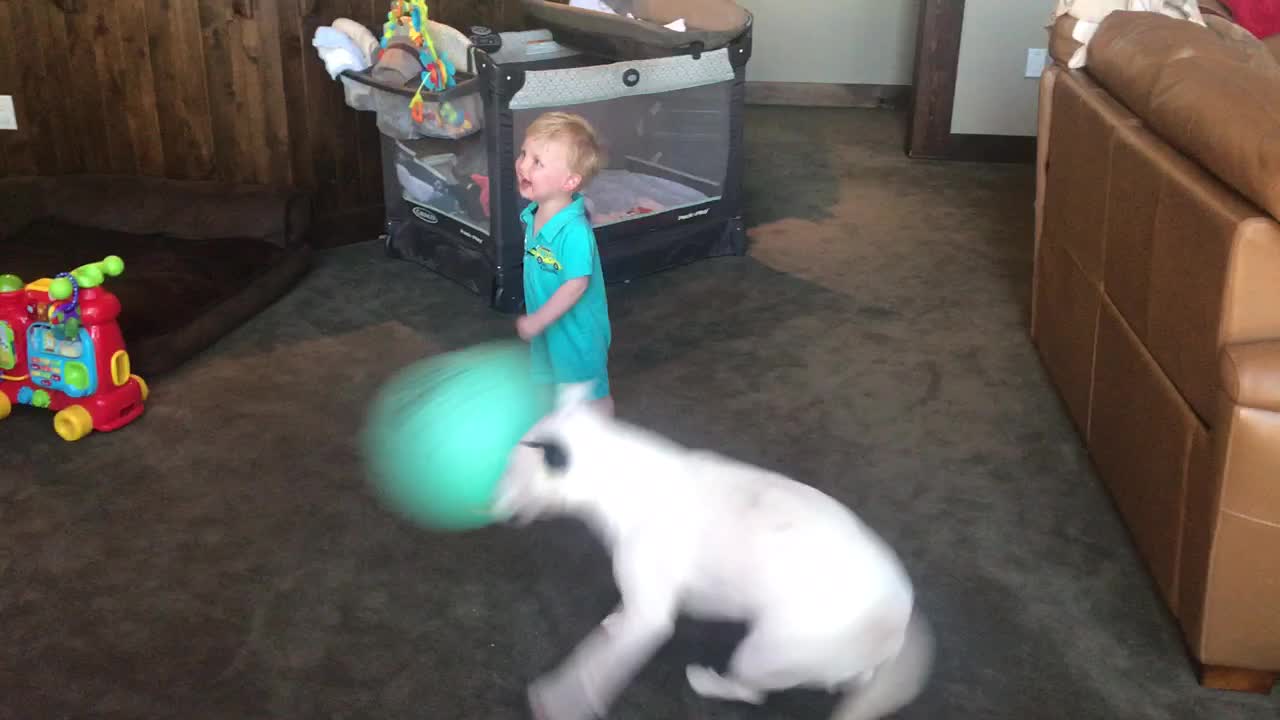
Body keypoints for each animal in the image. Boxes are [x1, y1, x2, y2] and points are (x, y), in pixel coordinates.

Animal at [494, 384, 936, 717]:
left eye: (511, 472)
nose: (492, 510)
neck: (616, 478)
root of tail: (897, 620)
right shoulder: (644, 601)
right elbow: (622, 617)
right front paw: (614, 622)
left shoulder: (650, 618)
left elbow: (590, 665)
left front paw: (559, 699)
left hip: (764, 651)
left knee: (750, 691)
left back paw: (707, 682)